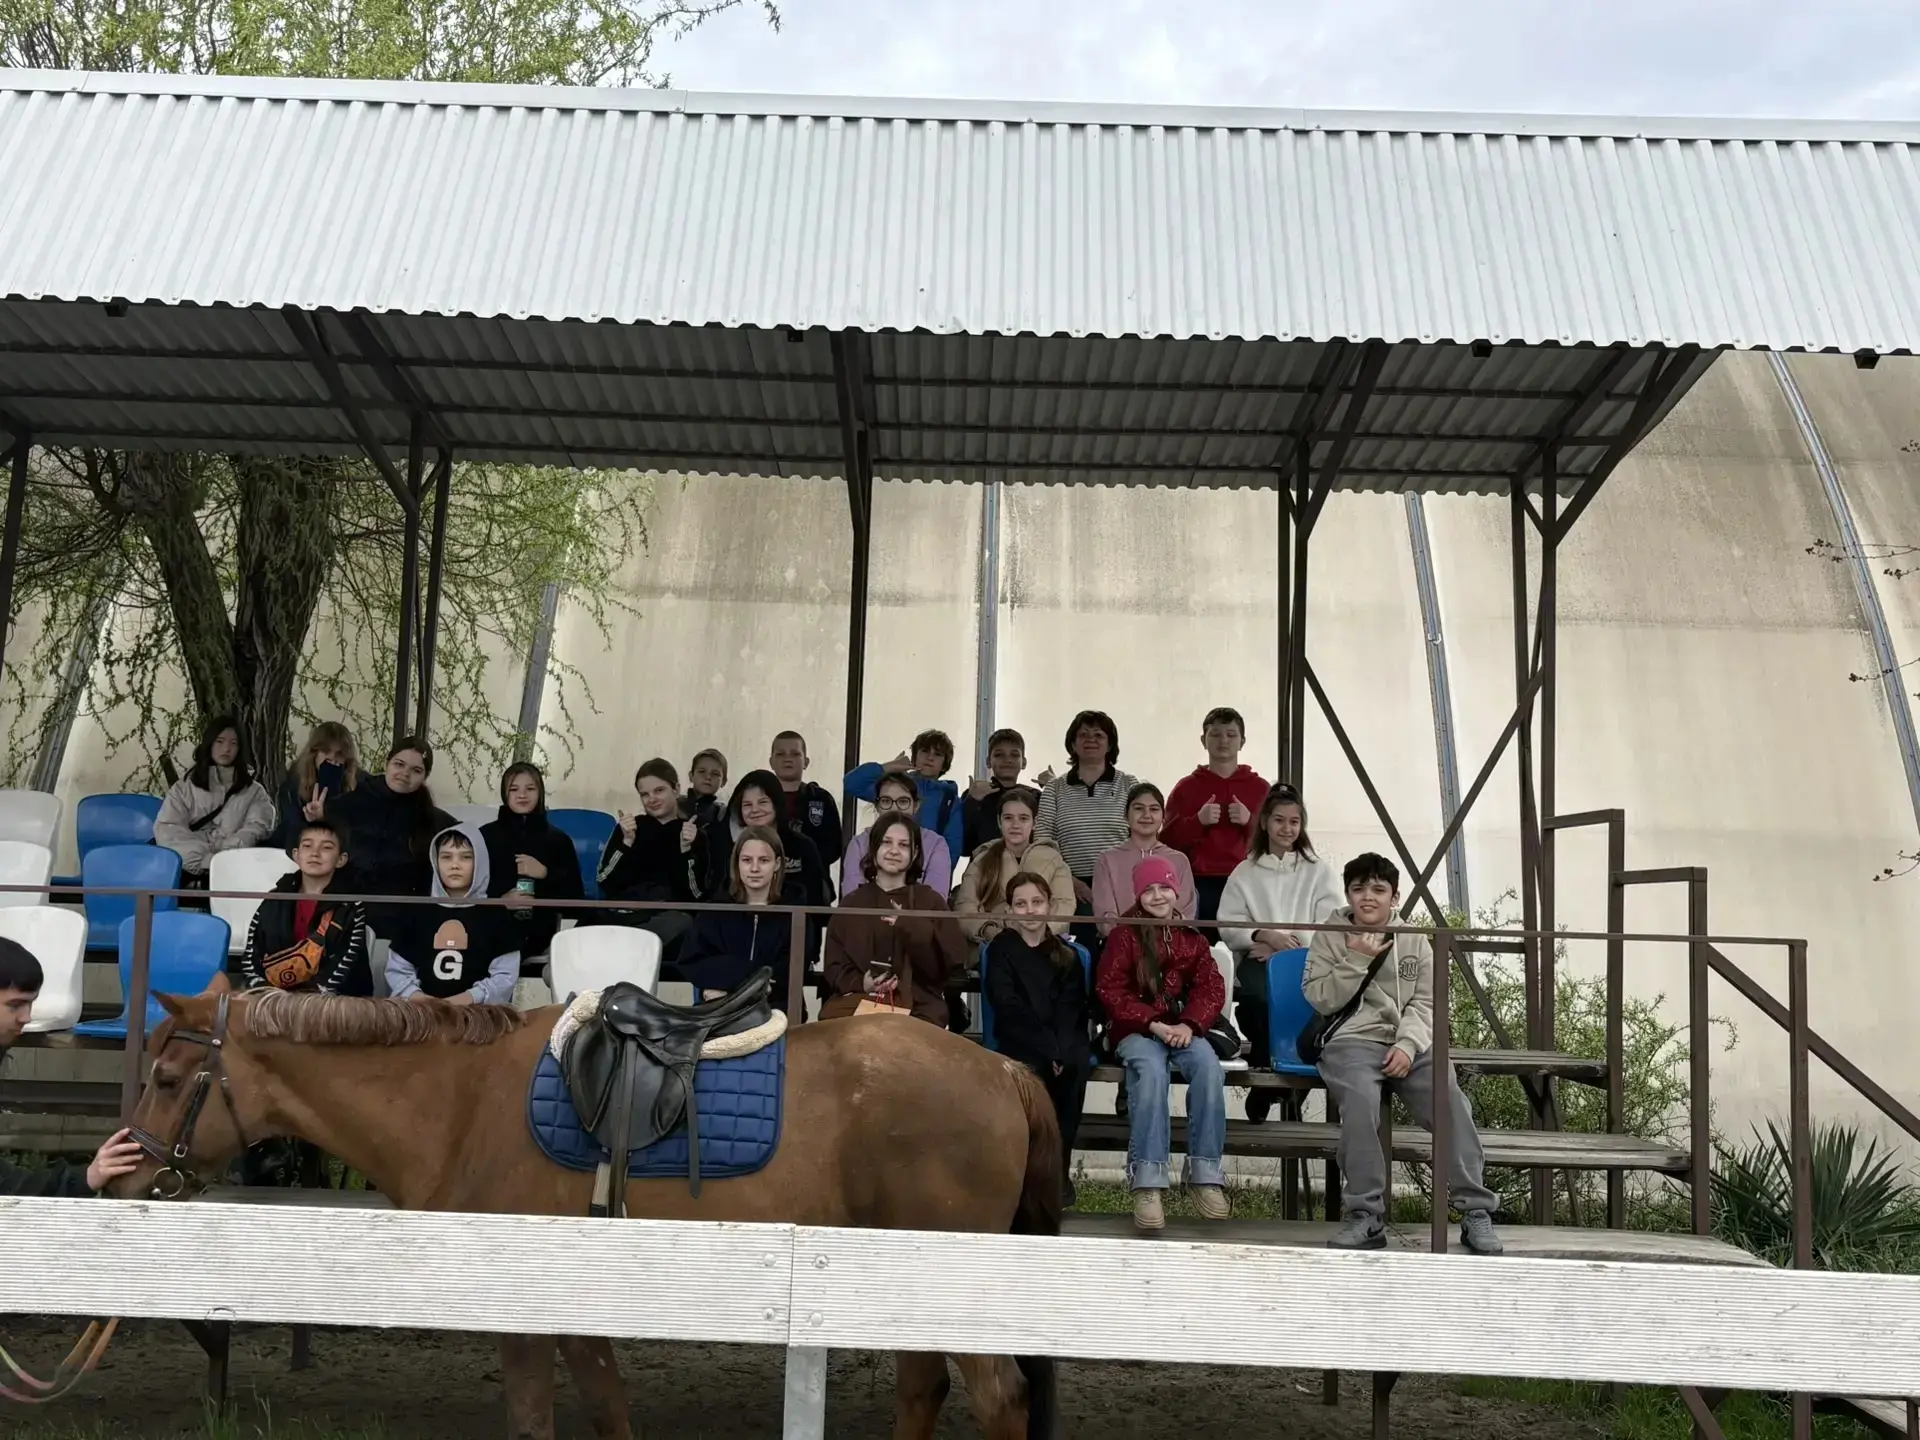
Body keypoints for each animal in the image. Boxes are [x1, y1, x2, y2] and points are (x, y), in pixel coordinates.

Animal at [113, 989, 1062, 1440]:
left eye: (167, 1078)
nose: (121, 1173)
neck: (458, 1101)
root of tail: (1002, 1068)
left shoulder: (529, 1313)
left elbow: (536, 1421)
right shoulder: (581, 1310)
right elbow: (608, 1410)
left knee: (998, 1399)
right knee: (925, 1391)